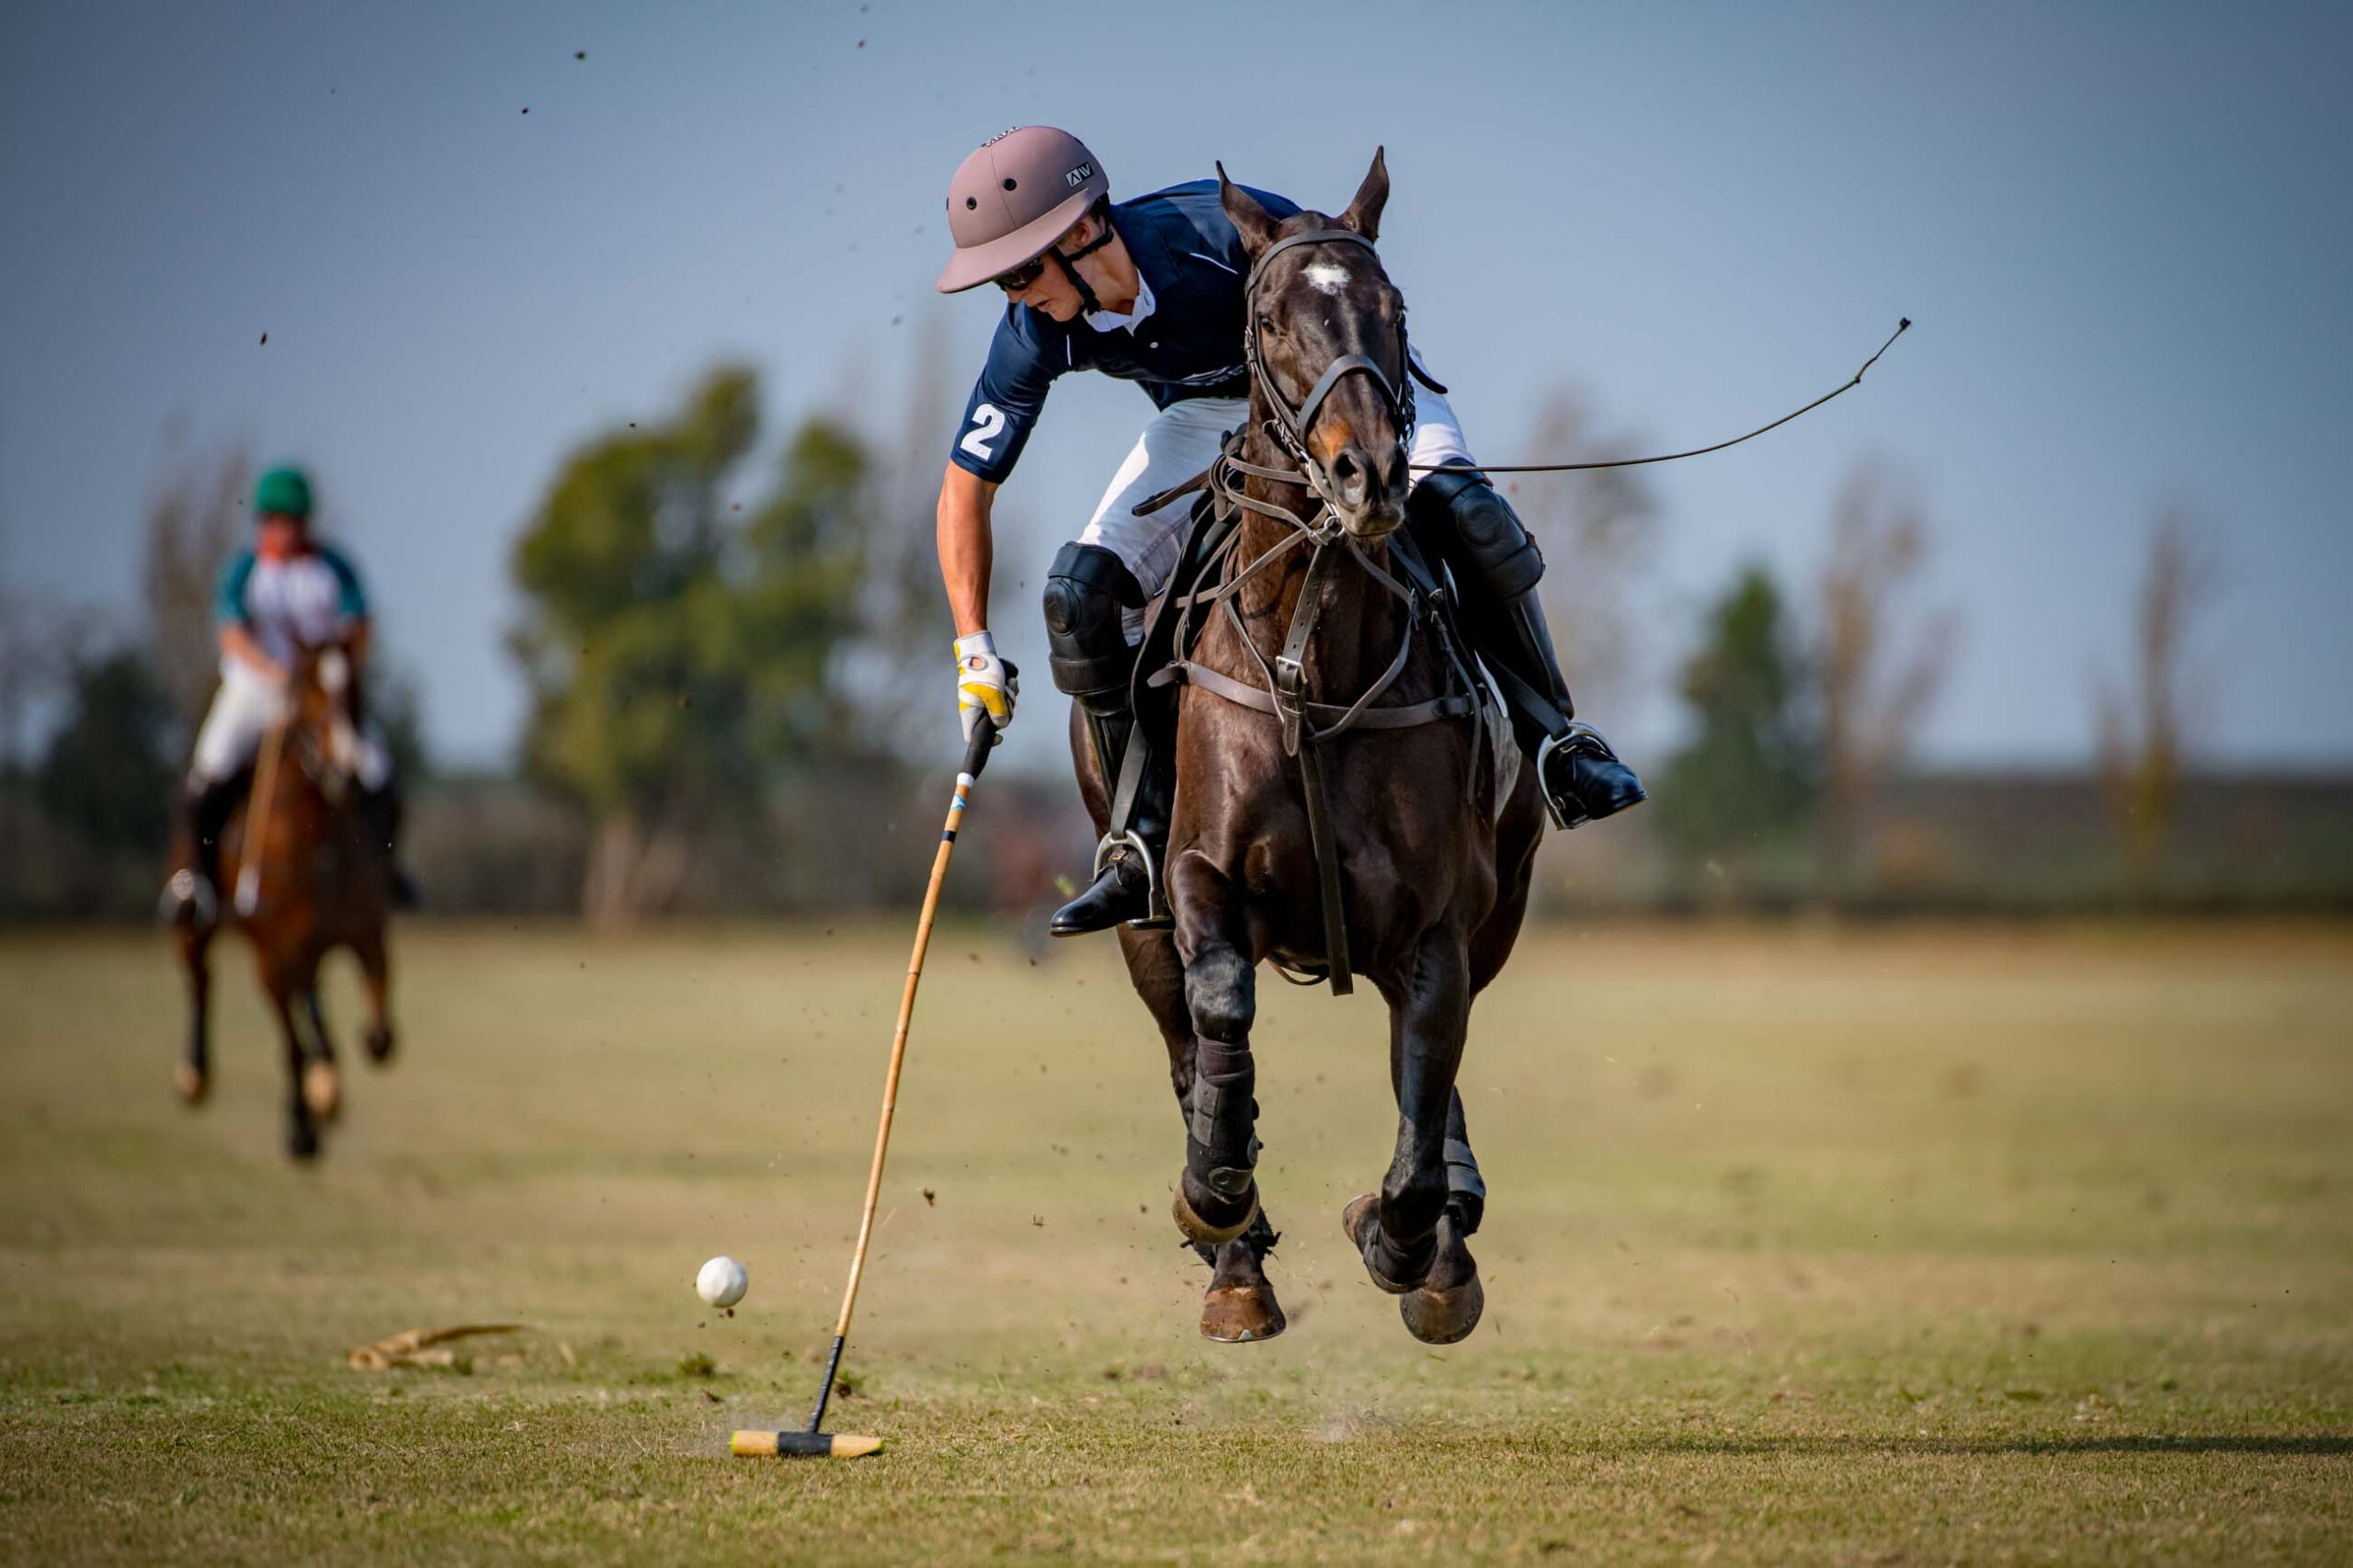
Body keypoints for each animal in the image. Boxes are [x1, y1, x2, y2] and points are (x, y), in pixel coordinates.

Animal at [174, 640, 396, 1160]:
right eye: (307, 691)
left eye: (357, 689)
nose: (346, 770)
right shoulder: (271, 957)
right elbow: (293, 1043)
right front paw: (301, 1125)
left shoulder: (369, 937)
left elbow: (378, 1034)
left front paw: (327, 1082)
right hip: (199, 926)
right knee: (201, 977)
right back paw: (195, 1076)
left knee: (311, 997)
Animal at [1076, 150, 1546, 1345]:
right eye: (1267, 317)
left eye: (1396, 308)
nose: (1366, 476)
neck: (1316, 666)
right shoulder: (1196, 877)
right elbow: (1221, 1010)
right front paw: (1216, 1189)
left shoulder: (1438, 927)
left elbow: (1421, 1107)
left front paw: (1408, 1240)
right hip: (1132, 916)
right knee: (1185, 1039)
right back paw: (1232, 1257)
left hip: (1493, 910)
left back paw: (1443, 1240)